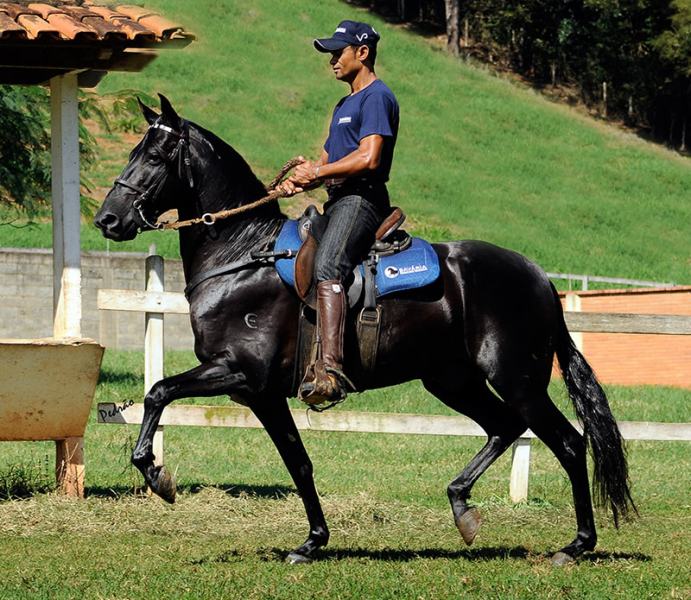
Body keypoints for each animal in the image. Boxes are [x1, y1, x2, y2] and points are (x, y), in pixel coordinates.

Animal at [94, 96, 636, 564]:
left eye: (155, 155)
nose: (108, 219)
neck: (243, 256)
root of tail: (539, 278)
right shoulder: (262, 395)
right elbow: (299, 463)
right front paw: (313, 541)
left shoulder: (240, 373)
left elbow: (158, 392)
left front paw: (158, 476)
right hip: (452, 381)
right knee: (504, 427)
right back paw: (462, 507)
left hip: (517, 381)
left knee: (569, 443)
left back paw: (576, 545)